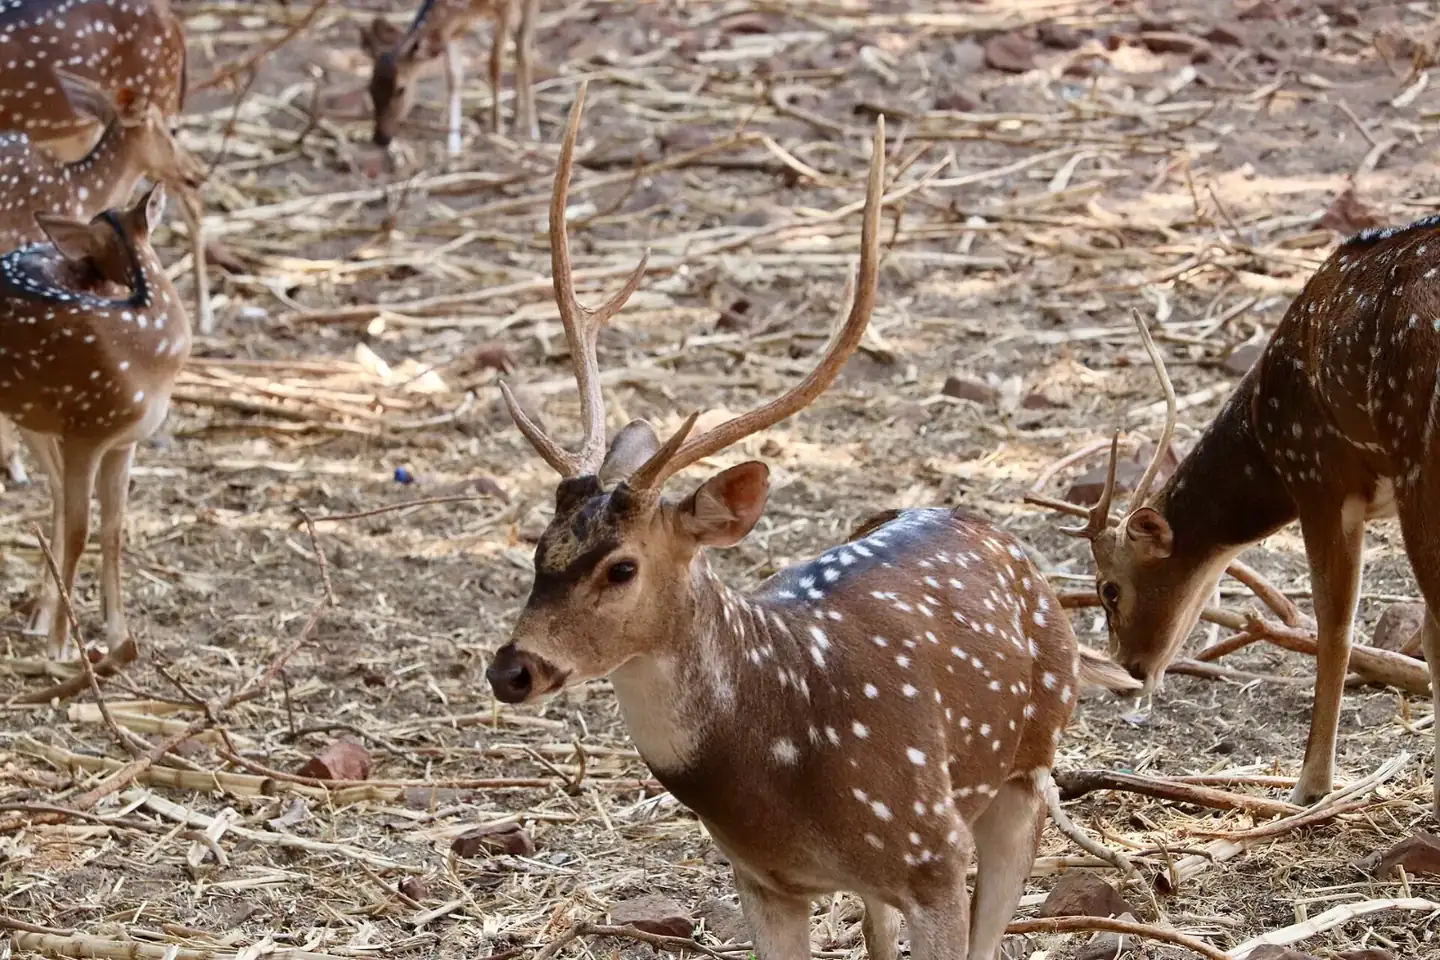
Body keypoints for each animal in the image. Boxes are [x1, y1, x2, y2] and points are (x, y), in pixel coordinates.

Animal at [0, 184, 190, 658]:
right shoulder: (87, 429)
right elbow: (81, 531)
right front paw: (61, 648)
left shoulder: (123, 441)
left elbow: (113, 529)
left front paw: (119, 638)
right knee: (60, 499)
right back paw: (44, 623)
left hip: (32, 412)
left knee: (54, 491)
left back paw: (38, 617)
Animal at [359, 0, 540, 156]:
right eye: (370, 88)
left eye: (400, 89)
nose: (379, 138)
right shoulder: (453, 31)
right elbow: (454, 78)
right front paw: (453, 146)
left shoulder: (506, 8)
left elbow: (495, 63)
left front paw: (497, 130)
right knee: (520, 44)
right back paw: (517, 117)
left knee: (523, 48)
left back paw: (531, 129)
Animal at [485, 87, 1139, 960]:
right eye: (538, 550)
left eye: (621, 567)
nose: (511, 670)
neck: (783, 761)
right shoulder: (760, 879)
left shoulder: (932, 851)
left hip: (1028, 759)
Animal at [1066, 227, 1440, 818]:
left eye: (1109, 589)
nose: (1127, 670)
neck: (1266, 442)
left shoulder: (1319, 477)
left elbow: (1336, 628)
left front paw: (1310, 786)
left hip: (1417, 458)